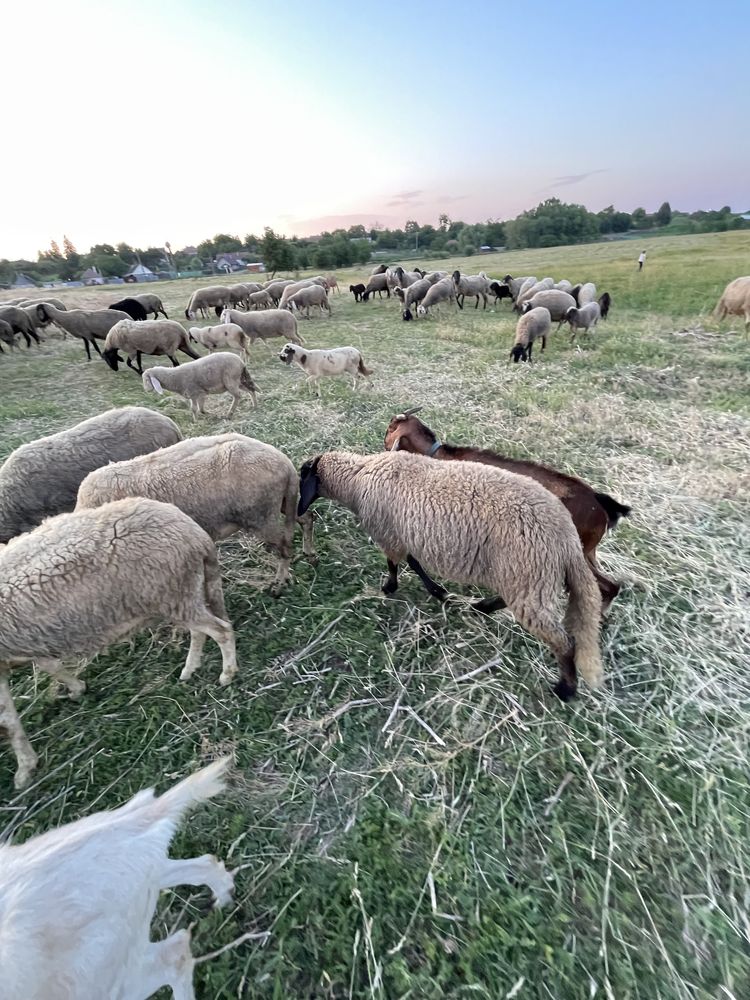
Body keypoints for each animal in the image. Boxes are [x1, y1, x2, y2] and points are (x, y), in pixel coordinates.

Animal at [75, 432, 312, 588]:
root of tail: (284, 463)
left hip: (260, 516)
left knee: (284, 545)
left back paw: (281, 580)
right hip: (283, 502)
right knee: (306, 518)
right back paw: (309, 552)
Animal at [298, 450, 604, 700]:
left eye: (303, 478)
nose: (299, 509)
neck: (359, 478)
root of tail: (568, 541)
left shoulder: (390, 535)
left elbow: (398, 563)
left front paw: (391, 587)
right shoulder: (403, 534)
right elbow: (413, 563)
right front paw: (437, 592)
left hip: (529, 574)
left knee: (565, 642)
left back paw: (565, 690)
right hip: (524, 578)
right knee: (512, 603)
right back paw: (481, 608)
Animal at [384, 408, 632, 608]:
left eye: (390, 428)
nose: (384, 447)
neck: (441, 457)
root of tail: (598, 502)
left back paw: (483, 607)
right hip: (586, 551)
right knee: (608, 586)